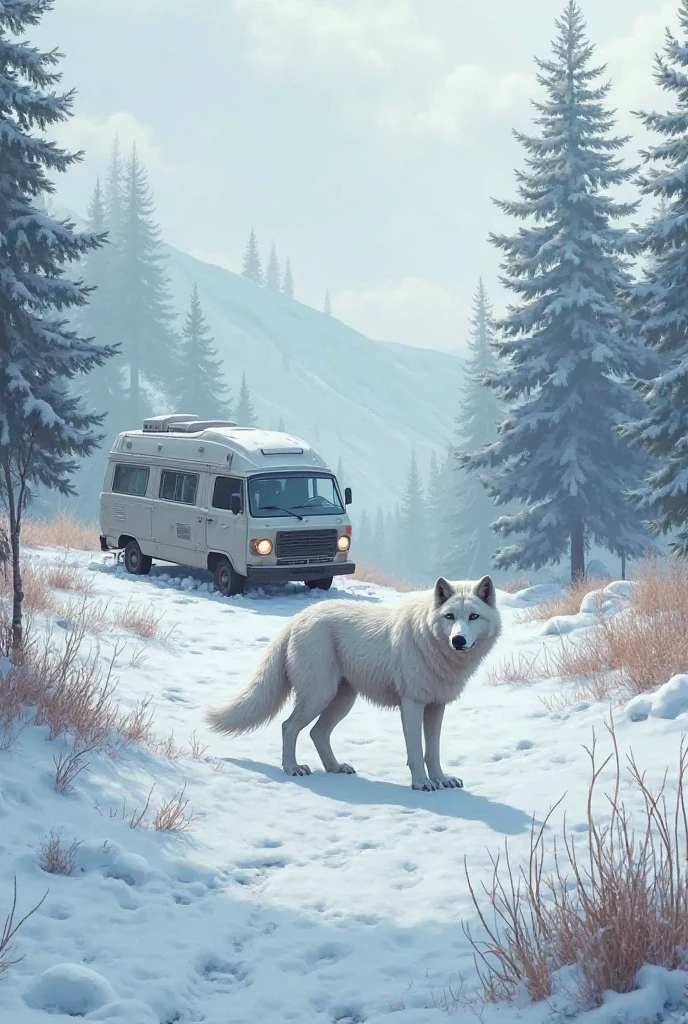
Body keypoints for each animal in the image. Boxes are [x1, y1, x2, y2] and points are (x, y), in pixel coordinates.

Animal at [206, 575, 501, 791]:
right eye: (450, 617)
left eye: (473, 617)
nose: (458, 640)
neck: (431, 642)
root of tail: (296, 619)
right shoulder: (412, 704)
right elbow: (417, 751)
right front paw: (421, 783)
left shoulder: (436, 706)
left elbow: (433, 751)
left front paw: (441, 779)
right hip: (319, 695)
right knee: (288, 726)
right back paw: (292, 768)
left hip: (343, 700)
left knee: (317, 733)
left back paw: (335, 768)